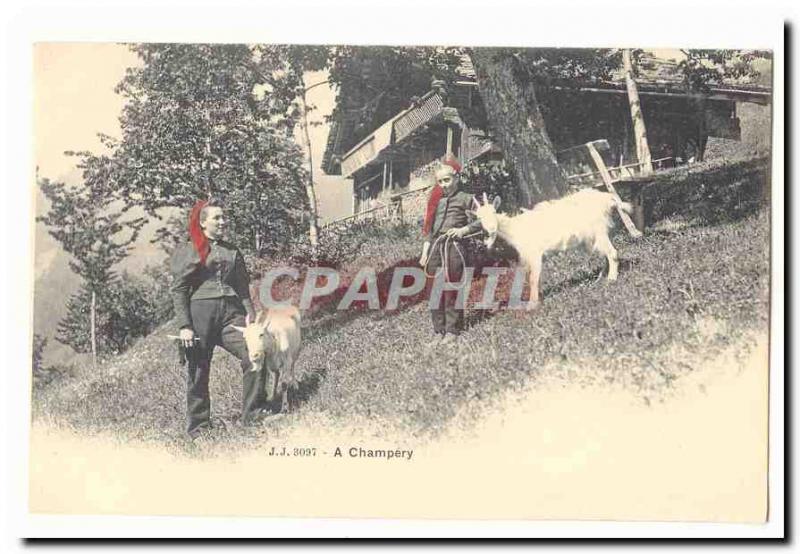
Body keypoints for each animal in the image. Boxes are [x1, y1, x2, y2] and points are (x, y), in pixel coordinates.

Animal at [468, 185, 632, 306]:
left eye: (493, 211)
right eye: (479, 218)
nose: (491, 229)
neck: (516, 229)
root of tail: (607, 198)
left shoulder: (534, 253)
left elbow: (533, 278)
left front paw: (532, 304)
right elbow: (534, 278)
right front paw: (538, 298)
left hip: (598, 230)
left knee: (612, 253)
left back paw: (611, 279)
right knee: (606, 254)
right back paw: (600, 277)